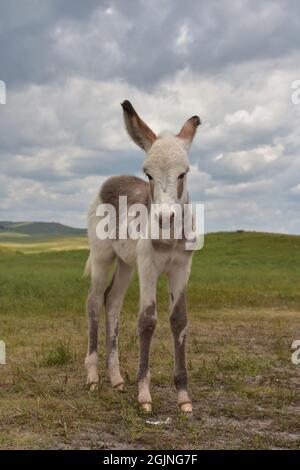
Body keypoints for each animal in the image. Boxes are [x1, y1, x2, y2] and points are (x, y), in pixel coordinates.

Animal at [85, 100, 202, 412]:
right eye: (148, 174)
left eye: (184, 173)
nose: (164, 218)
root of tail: (112, 179)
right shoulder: (148, 267)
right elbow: (147, 321)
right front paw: (145, 396)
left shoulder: (181, 268)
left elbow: (180, 320)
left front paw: (183, 397)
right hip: (102, 257)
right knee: (93, 302)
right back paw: (93, 377)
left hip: (126, 264)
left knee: (112, 301)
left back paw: (116, 379)